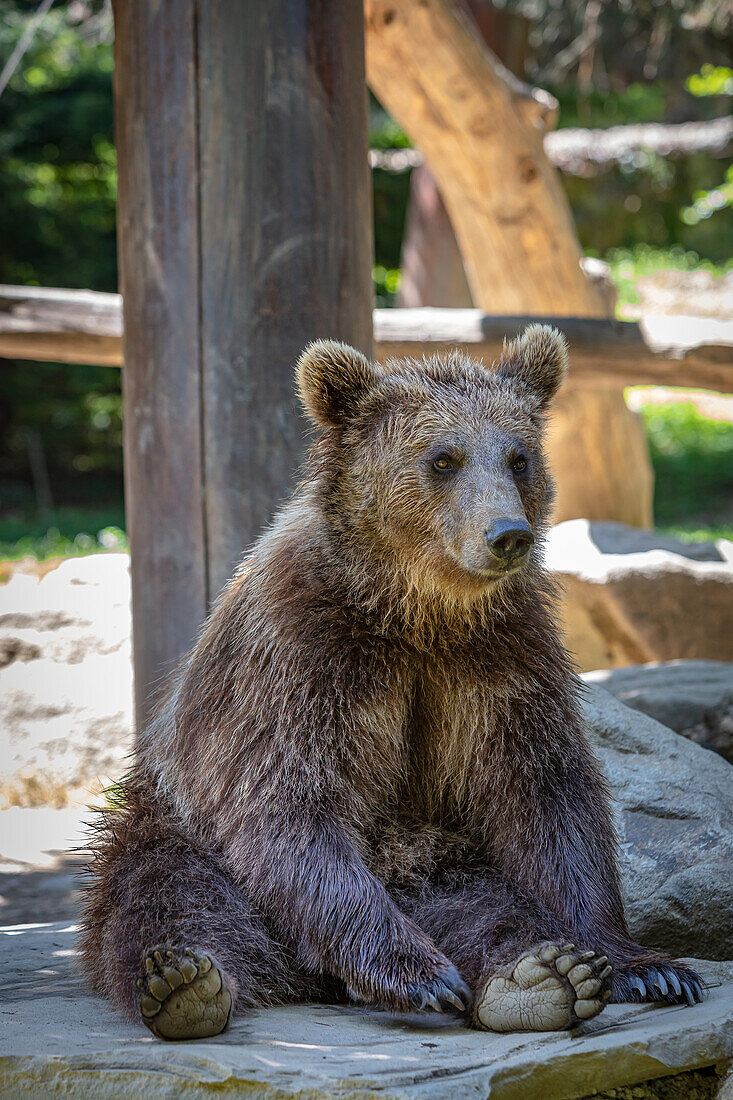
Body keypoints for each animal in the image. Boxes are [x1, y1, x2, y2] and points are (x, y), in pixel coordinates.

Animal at [79, 325, 704, 1038]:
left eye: (517, 458)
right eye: (443, 459)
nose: (507, 534)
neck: (414, 611)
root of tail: (310, 978)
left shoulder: (501, 661)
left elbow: (548, 795)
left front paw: (645, 965)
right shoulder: (299, 656)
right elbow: (287, 803)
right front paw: (416, 973)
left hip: (438, 863)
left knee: (484, 908)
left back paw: (539, 978)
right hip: (171, 821)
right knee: (173, 893)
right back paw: (187, 983)